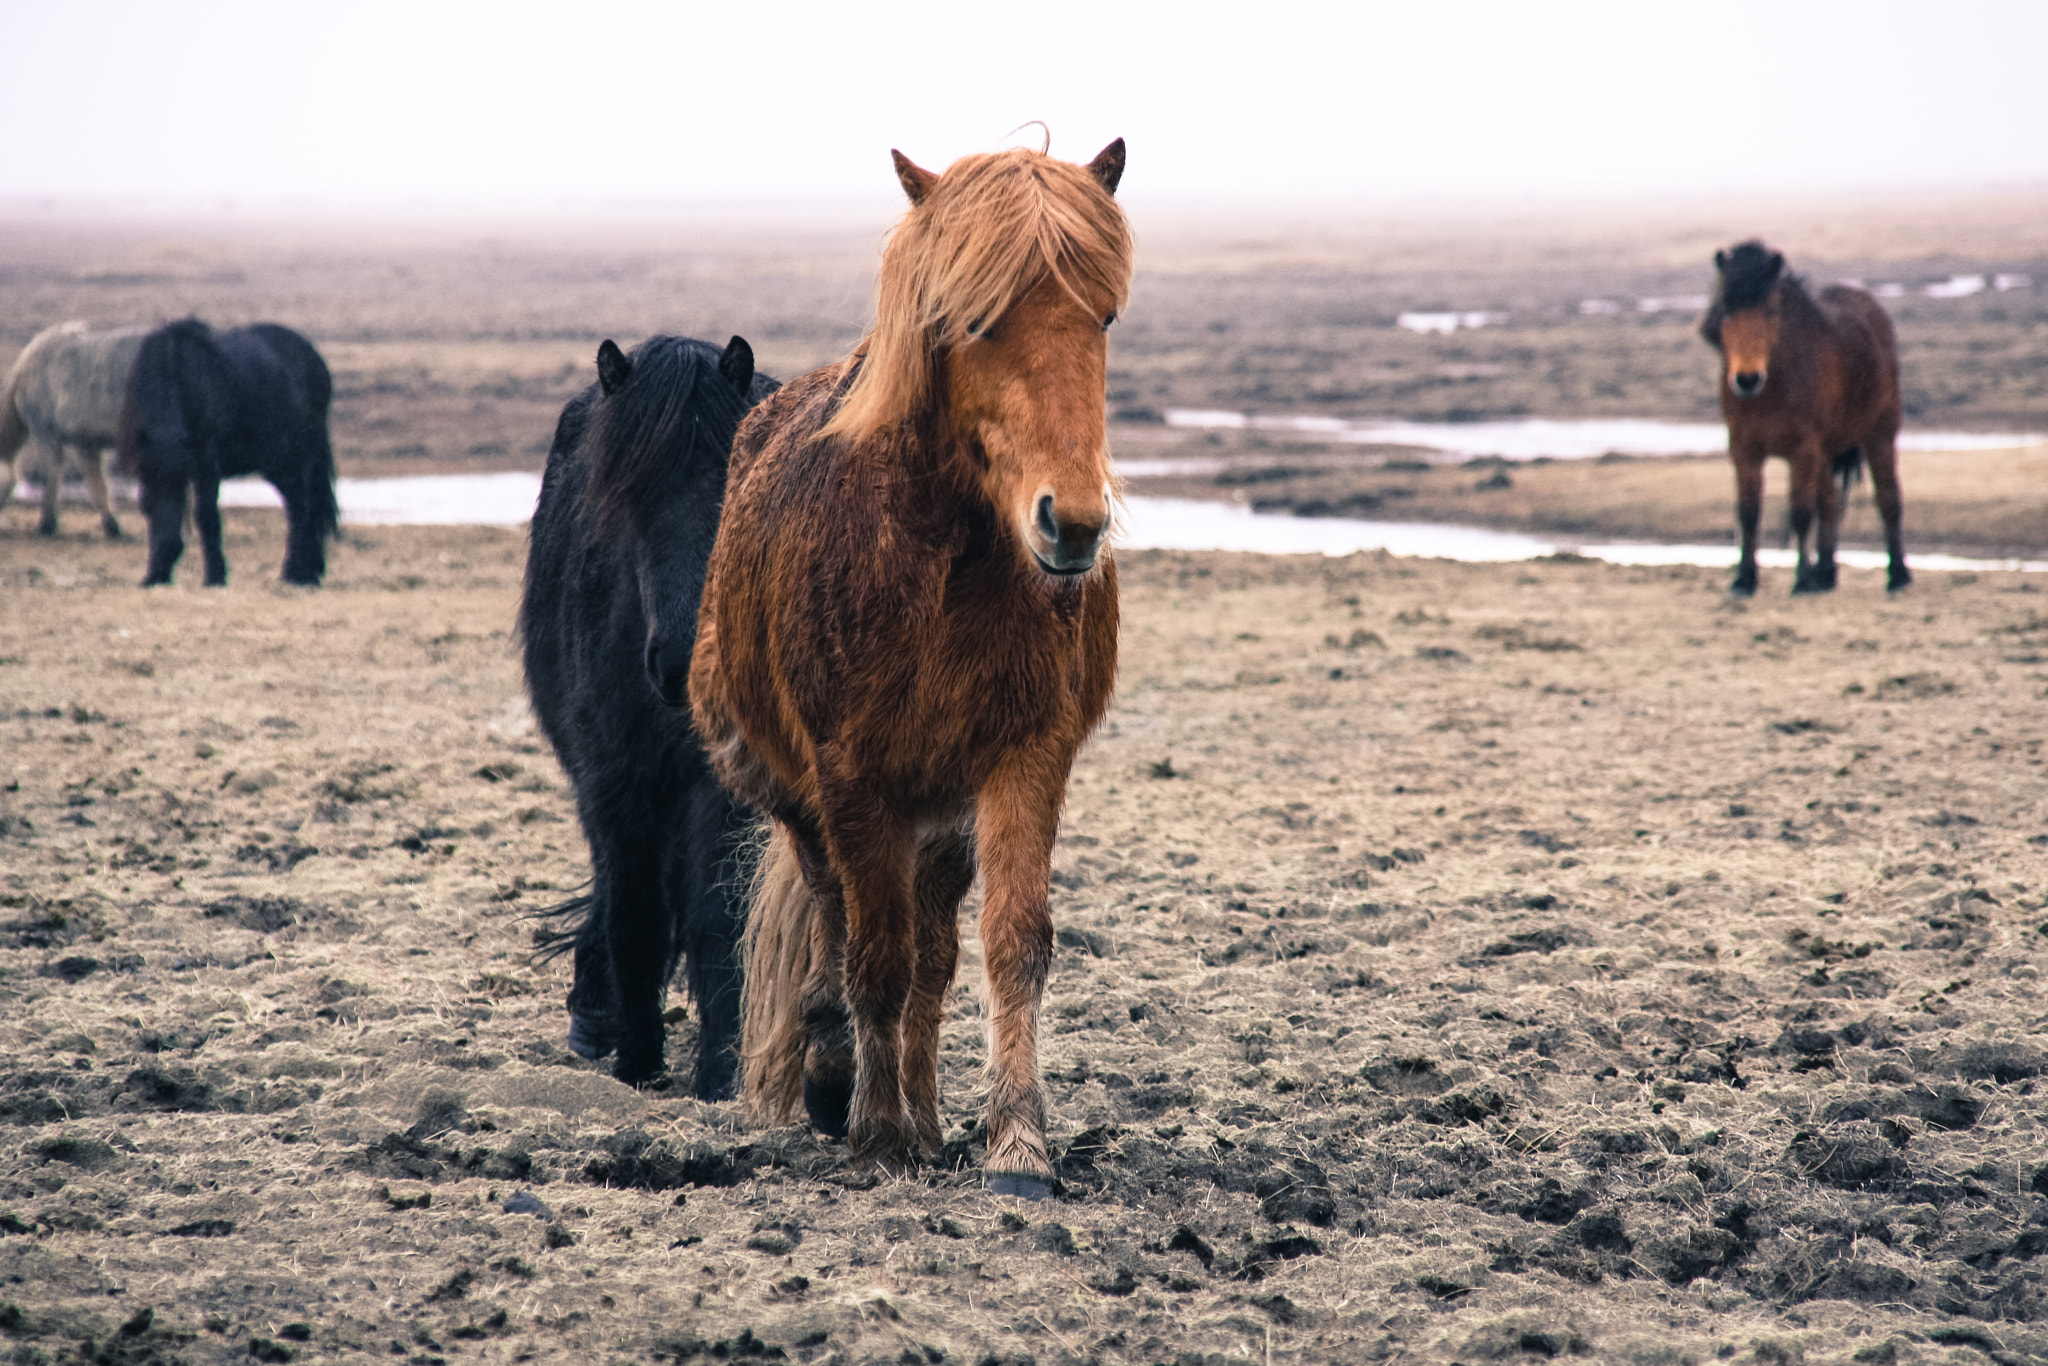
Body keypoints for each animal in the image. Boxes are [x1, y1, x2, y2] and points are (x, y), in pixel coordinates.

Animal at [0, 321, 147, 539]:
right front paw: (112, 526)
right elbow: (98, 484)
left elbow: (51, 476)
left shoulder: (45, 434)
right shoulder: (86, 443)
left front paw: (47, 524)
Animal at [116, 320, 339, 587]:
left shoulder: (206, 467)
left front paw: (215, 576)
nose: (159, 573)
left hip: (300, 457)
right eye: (149, 503)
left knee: (306, 507)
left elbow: (206, 517)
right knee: (298, 506)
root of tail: (313, 357)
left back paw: (299, 573)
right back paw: (303, 571)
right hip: (277, 465)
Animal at [520, 334, 777, 1096]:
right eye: (625, 496)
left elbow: (719, 913)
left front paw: (721, 1068)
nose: (682, 664)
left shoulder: (725, 787)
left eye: (731, 485)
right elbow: (634, 911)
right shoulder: (616, 780)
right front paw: (636, 1059)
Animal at [690, 138, 1131, 1197]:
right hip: (809, 801)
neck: (952, 563)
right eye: (973, 319)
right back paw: (840, 1077)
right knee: (838, 920)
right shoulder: (853, 777)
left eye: (1103, 317)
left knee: (932, 955)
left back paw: (929, 1119)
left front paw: (1016, 1145)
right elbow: (874, 957)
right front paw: (876, 1132)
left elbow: (1012, 945)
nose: (1073, 524)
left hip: (940, 819)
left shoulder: (1026, 758)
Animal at [1700, 241, 1909, 596]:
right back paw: (1825, 574)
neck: (1773, 389)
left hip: (1879, 434)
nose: (1747, 379)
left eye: (1771, 310)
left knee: (1888, 498)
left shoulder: (1803, 449)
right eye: (1725, 308)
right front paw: (1744, 579)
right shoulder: (1744, 450)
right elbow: (1749, 513)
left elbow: (1800, 512)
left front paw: (1801, 578)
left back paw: (1897, 575)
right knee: (1830, 503)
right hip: (1826, 452)